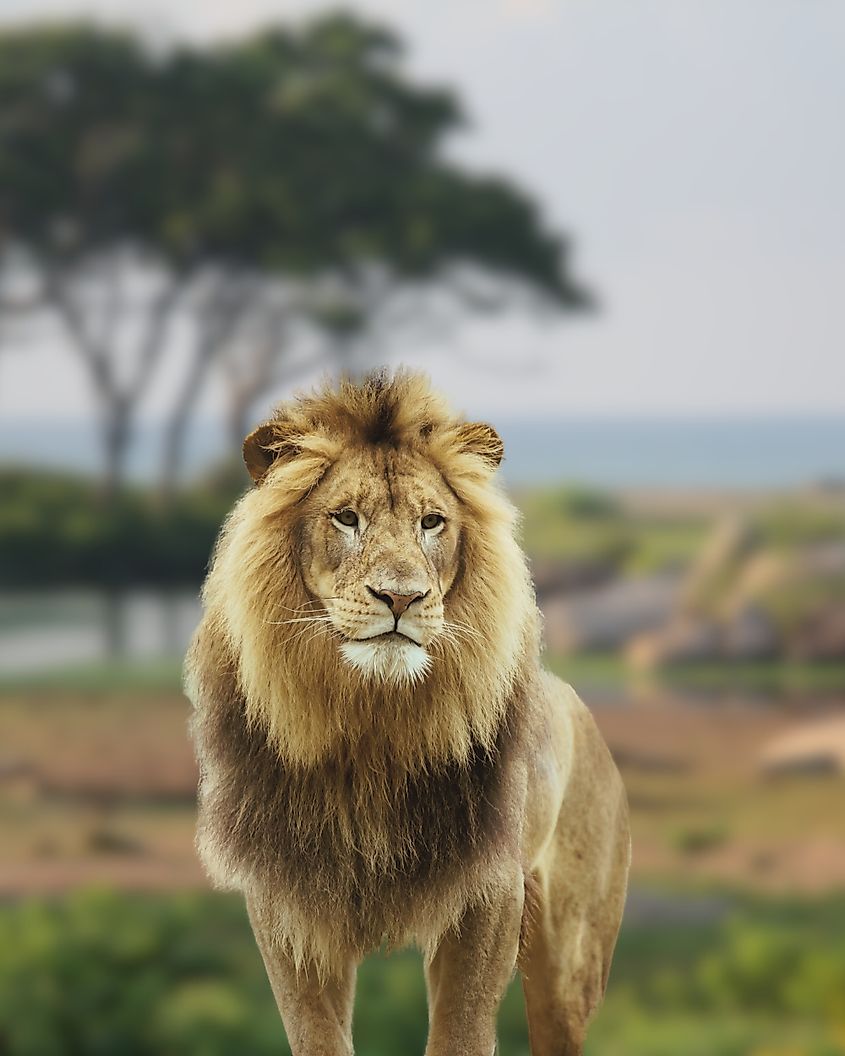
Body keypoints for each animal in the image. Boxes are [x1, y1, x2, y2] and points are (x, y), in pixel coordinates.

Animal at [185, 369, 630, 1056]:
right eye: (346, 518)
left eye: (432, 522)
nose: (401, 597)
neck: (375, 722)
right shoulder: (288, 898)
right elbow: (317, 1033)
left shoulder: (487, 892)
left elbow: (461, 1031)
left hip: (570, 955)